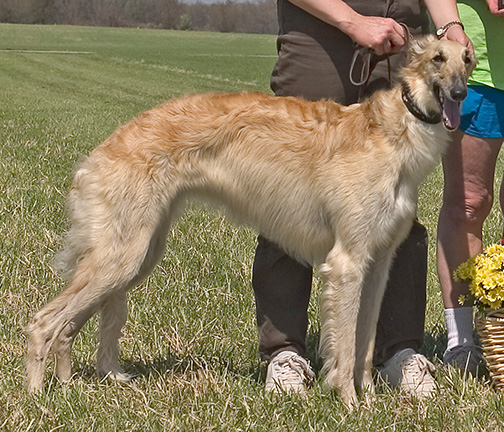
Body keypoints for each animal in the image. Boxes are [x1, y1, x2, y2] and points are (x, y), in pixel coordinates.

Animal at [26, 36, 476, 404]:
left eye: (467, 59)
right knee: (43, 322)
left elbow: (363, 344)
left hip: (136, 255)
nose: (460, 93)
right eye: (438, 58)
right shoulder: (347, 262)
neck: (390, 133)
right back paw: (37, 393)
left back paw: (78, 382)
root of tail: (98, 154)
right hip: (121, 256)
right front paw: (348, 403)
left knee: (69, 327)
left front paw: (368, 399)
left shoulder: (378, 262)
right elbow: (345, 347)